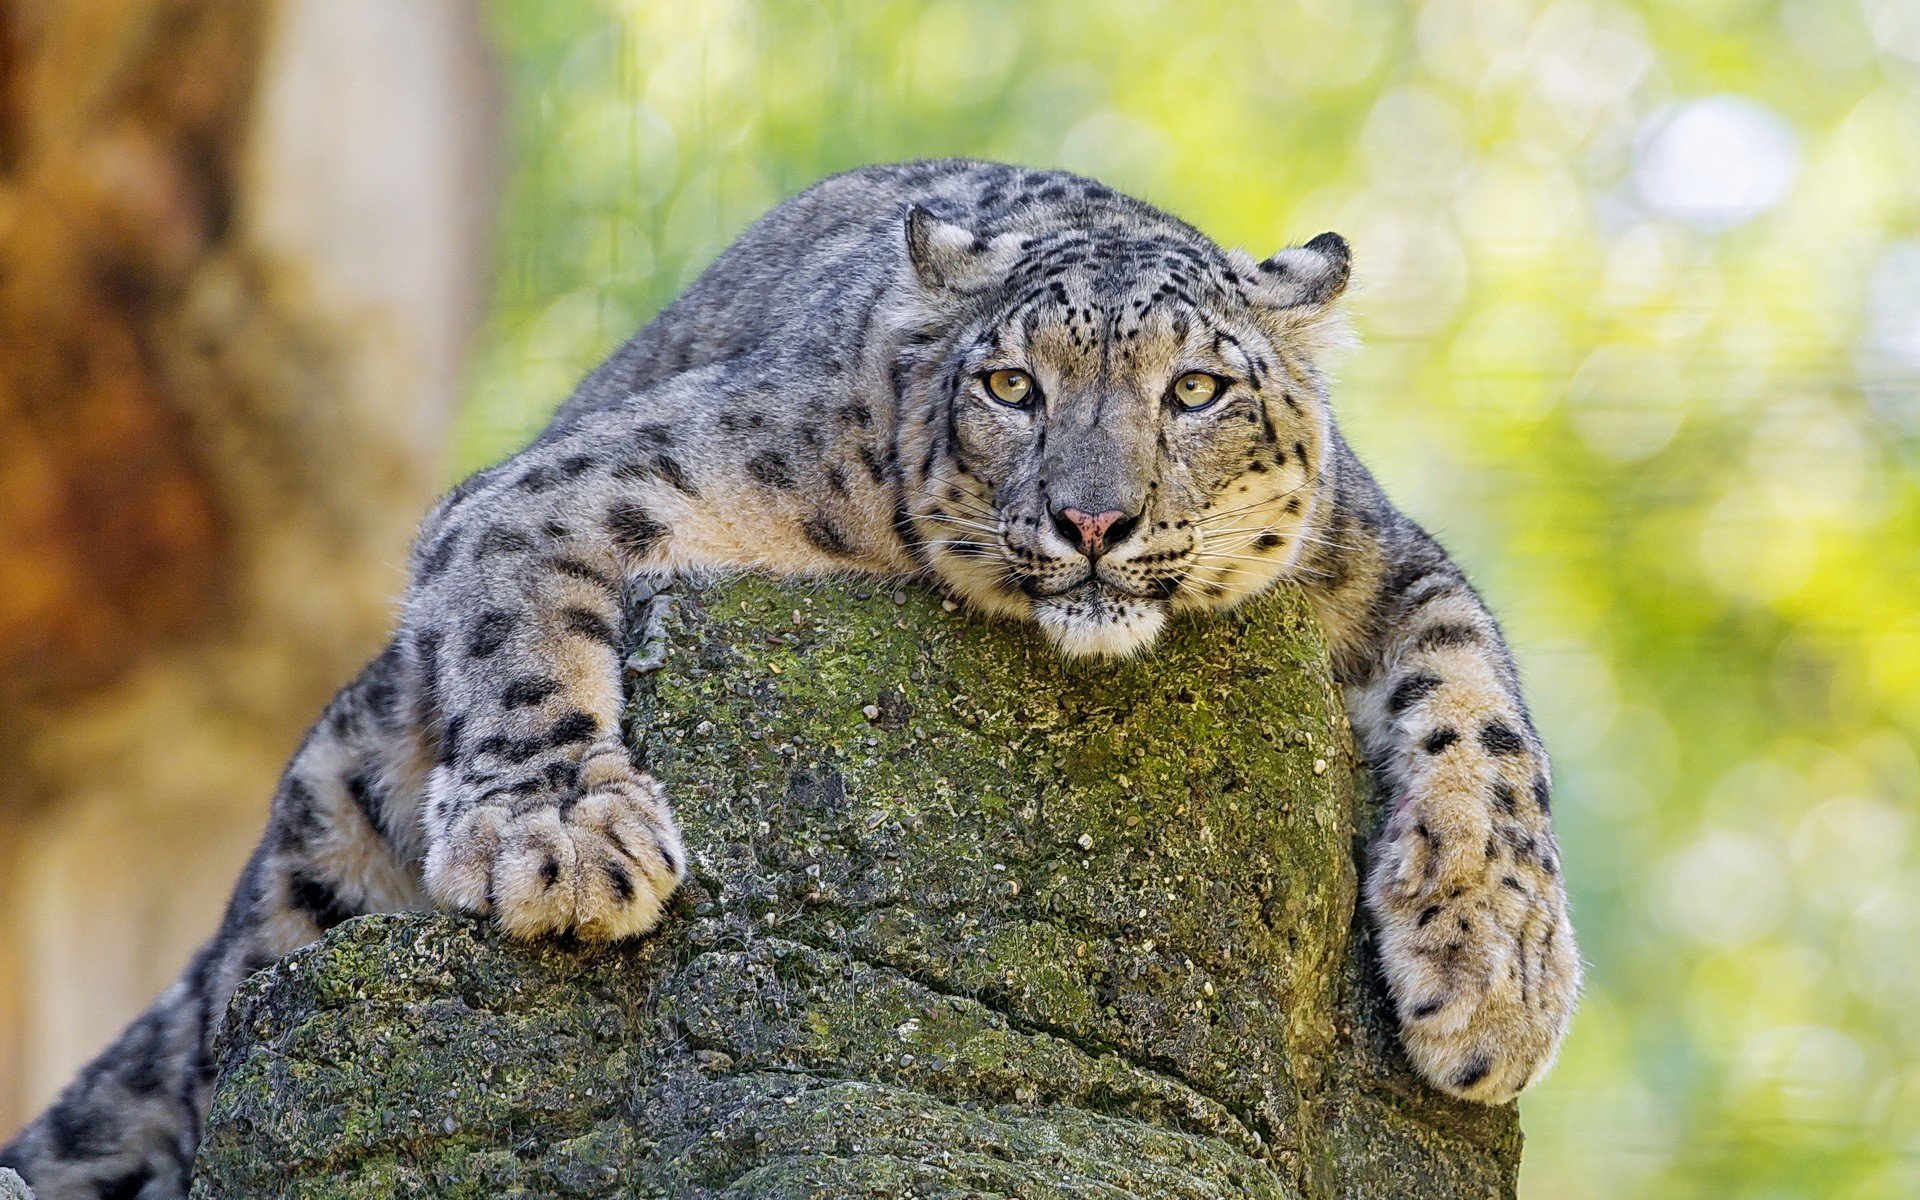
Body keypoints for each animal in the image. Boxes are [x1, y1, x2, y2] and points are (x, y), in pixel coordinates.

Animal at [2, 159, 1578, 1199]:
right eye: (1011, 386)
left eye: (1198, 390)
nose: (1093, 520)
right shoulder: (593, 478)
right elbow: (518, 622)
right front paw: (562, 839)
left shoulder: (1380, 563)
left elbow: (1485, 714)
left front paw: (1492, 978)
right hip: (310, 856)